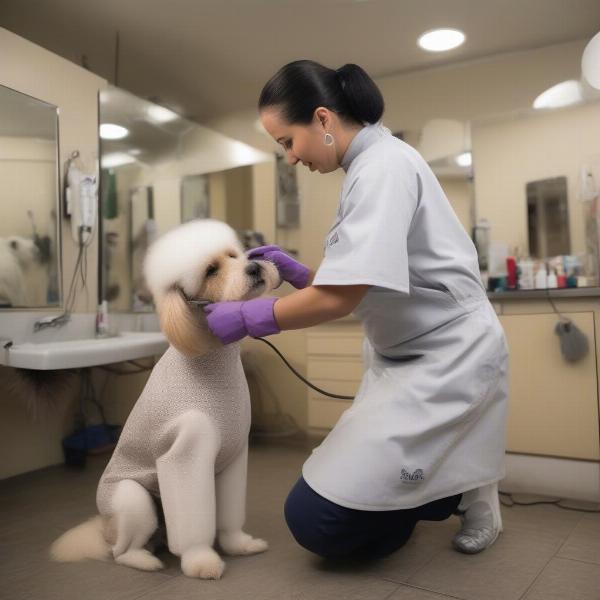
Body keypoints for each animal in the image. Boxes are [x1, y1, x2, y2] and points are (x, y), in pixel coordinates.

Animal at [49, 218, 278, 580]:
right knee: (120, 552)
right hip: (134, 500)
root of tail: (104, 527)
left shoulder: (233, 457)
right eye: (211, 270)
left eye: (233, 255)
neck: (211, 360)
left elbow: (228, 519)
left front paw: (239, 545)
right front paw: (201, 562)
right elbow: (195, 526)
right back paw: (144, 560)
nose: (254, 266)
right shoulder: (186, 456)